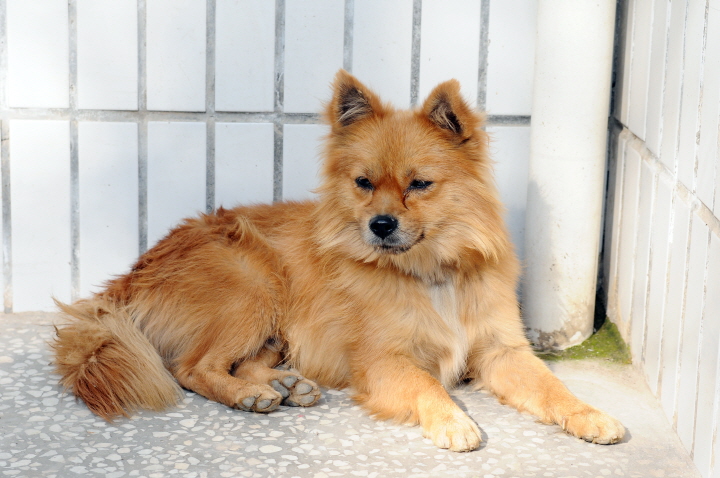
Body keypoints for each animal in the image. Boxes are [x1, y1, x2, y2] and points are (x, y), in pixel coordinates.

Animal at [52, 70, 625, 451]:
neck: (429, 273)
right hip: (254, 287)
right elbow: (425, 385)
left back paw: (283, 383)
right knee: (191, 367)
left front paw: (588, 414)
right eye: (363, 183)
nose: (381, 225)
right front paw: (451, 420)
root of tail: (125, 281)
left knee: (238, 359)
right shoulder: (385, 359)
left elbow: (550, 386)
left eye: (420, 184)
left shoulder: (503, 351)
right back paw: (249, 395)